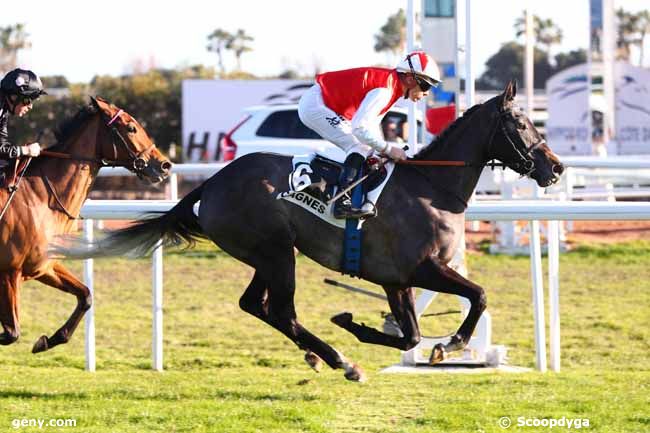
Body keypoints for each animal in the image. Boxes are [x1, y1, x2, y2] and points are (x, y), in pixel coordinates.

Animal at [0, 96, 170, 352]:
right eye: (131, 127)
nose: (164, 165)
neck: (40, 198)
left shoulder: (44, 266)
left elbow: (86, 295)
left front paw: (48, 340)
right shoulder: (9, 273)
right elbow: (11, 332)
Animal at [57, 81, 560, 378]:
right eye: (521, 123)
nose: (555, 167)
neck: (432, 188)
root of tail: (214, 182)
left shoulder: (395, 279)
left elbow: (412, 335)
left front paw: (358, 325)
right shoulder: (422, 268)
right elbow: (478, 295)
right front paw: (451, 343)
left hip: (268, 255)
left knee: (255, 305)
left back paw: (328, 353)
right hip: (277, 252)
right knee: (280, 310)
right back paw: (339, 360)